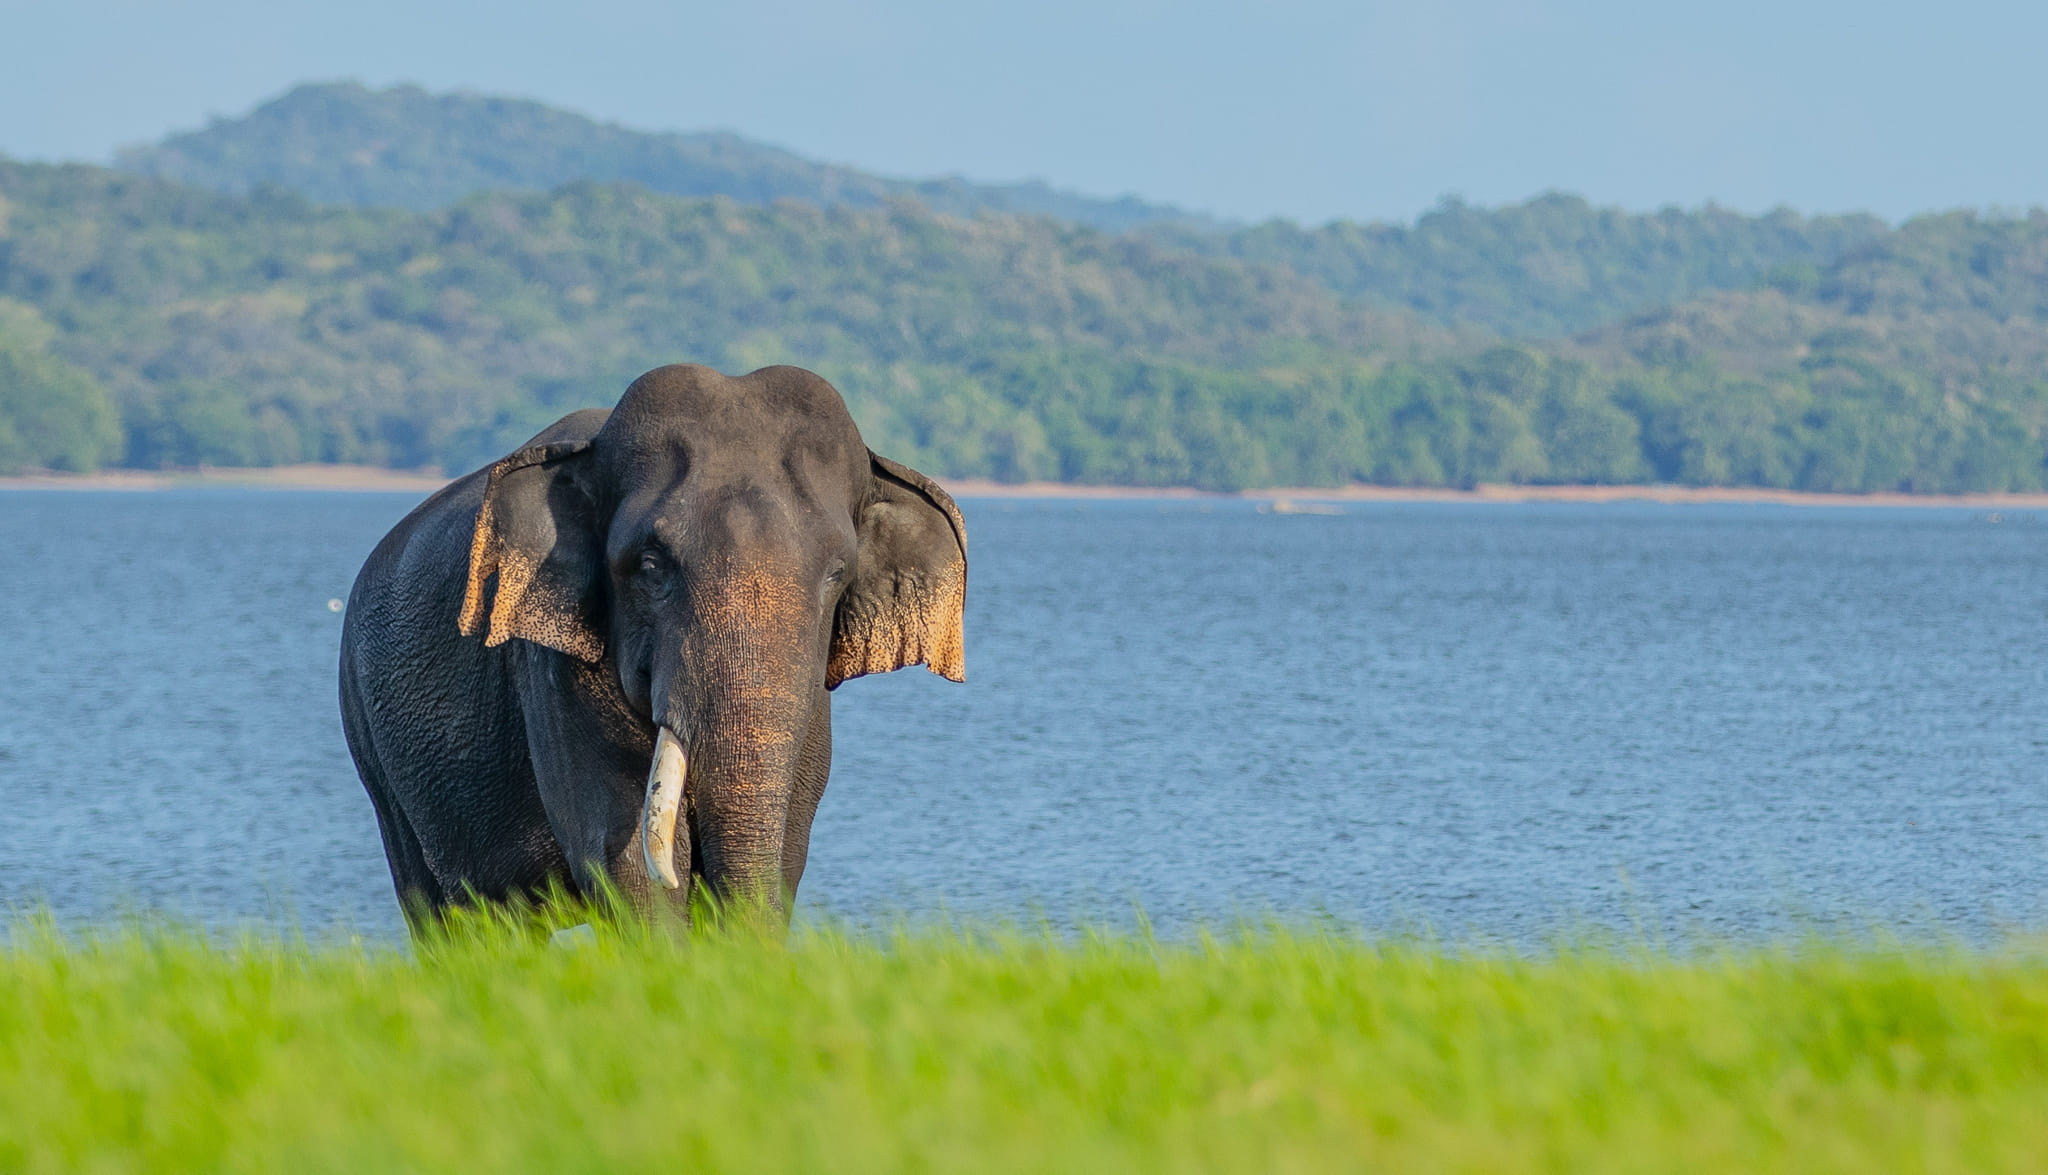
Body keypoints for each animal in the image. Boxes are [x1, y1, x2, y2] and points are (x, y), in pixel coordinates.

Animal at [338, 363, 966, 931]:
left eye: (838, 574)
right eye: (650, 565)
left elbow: (787, 852)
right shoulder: (553, 673)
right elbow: (622, 862)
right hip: (373, 752)